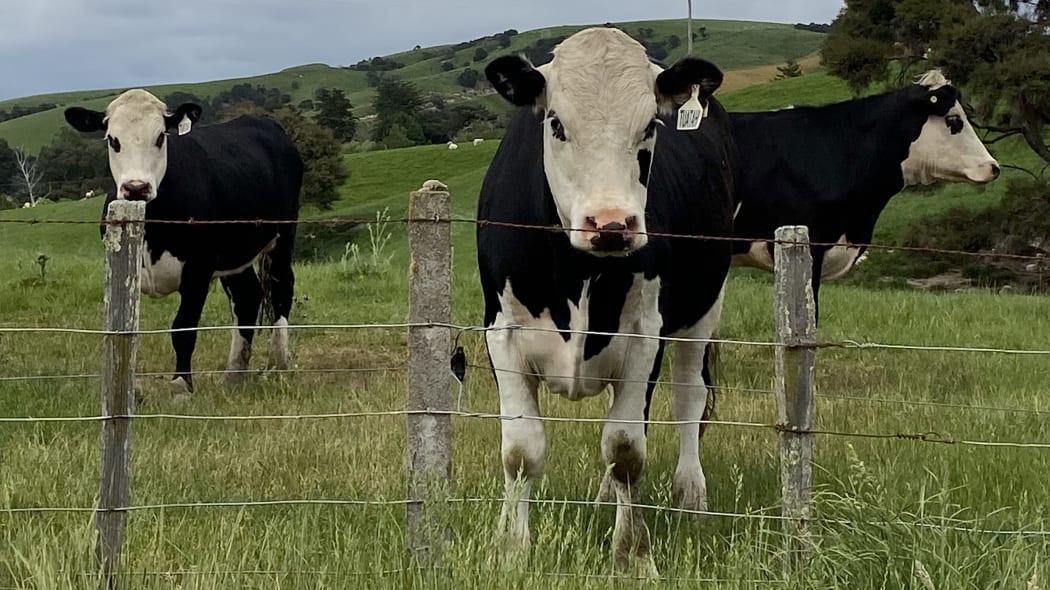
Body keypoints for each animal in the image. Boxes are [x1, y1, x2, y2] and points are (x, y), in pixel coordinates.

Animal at [64, 89, 304, 396]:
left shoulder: (199, 268)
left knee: (281, 287)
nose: (136, 188)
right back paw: (235, 372)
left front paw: (181, 384)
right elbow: (124, 328)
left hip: (283, 234)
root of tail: (263, 122)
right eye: (113, 140)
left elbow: (183, 327)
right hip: (235, 251)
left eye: (160, 137)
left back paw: (278, 362)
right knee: (248, 295)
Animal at [479, 28, 736, 575]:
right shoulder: (502, 334)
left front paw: (633, 554)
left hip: (703, 309)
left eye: (650, 124)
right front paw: (510, 549)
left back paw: (691, 497)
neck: (578, 272)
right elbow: (521, 452)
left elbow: (625, 450)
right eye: (556, 122)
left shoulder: (644, 335)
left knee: (689, 399)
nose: (612, 224)